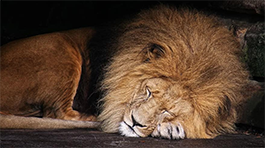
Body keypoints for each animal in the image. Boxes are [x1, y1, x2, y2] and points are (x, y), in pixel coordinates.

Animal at [1, 4, 250, 139]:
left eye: (166, 111)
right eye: (148, 92)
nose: (134, 123)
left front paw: (173, 128)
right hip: (60, 48)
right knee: (57, 113)